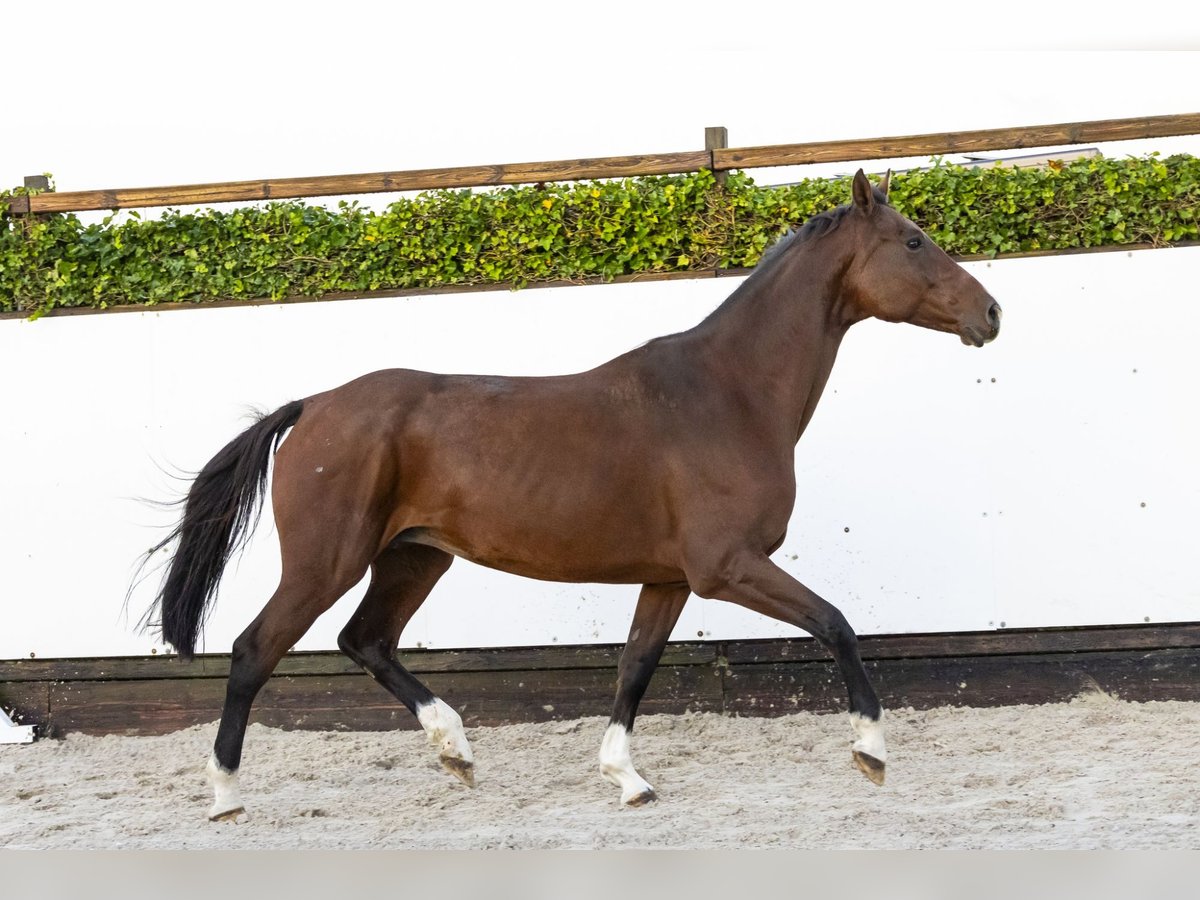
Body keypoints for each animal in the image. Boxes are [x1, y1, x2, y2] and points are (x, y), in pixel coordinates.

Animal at [145, 170, 998, 825]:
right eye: (913, 240)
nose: (990, 313)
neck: (727, 394)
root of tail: (313, 405)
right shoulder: (727, 566)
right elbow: (837, 624)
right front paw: (871, 753)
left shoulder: (670, 577)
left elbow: (634, 668)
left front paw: (628, 780)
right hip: (327, 561)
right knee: (255, 650)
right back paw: (225, 796)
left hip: (414, 558)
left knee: (367, 641)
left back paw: (457, 751)